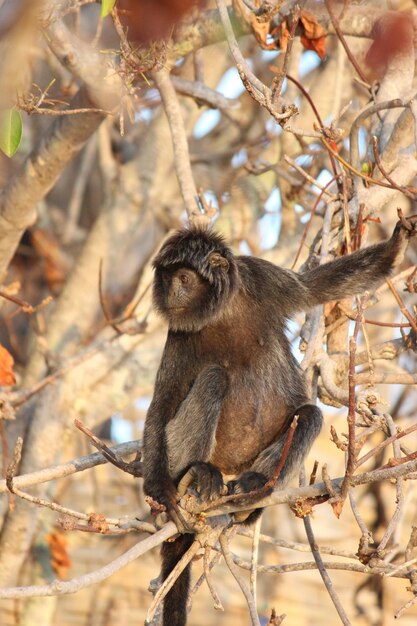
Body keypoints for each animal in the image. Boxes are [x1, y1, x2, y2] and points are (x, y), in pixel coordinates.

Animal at [141, 213, 414, 624]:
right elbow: (162, 406)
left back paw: (252, 490)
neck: (223, 311)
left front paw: (397, 246)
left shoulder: (260, 277)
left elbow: (316, 288)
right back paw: (201, 474)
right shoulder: (180, 333)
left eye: (184, 278)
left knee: (310, 415)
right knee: (213, 378)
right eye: (167, 278)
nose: (169, 293)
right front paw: (158, 490)